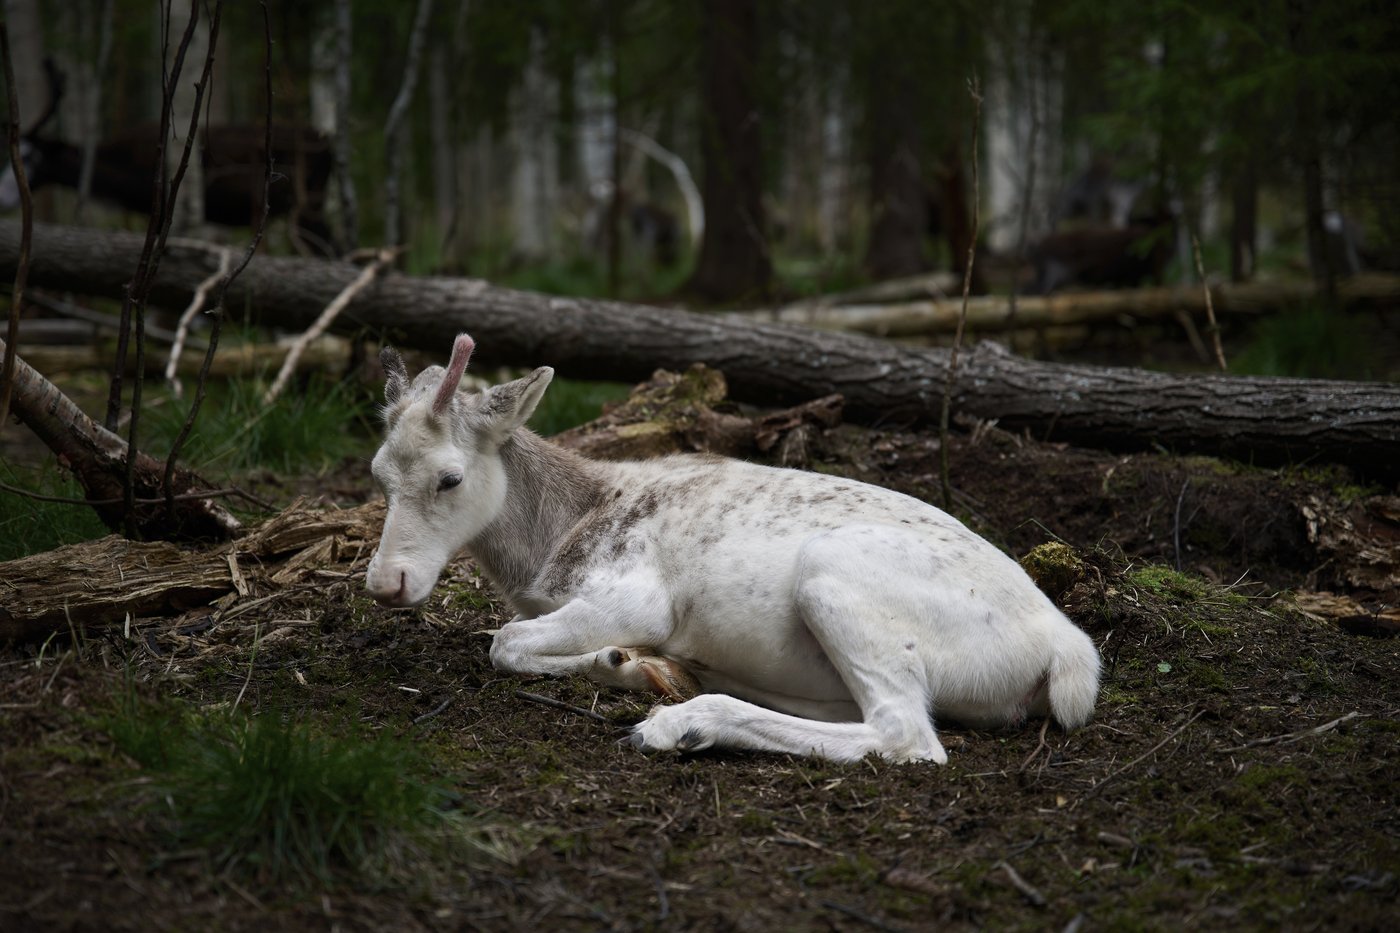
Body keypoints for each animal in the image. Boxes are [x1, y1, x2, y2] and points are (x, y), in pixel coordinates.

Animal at [365, 335, 1102, 763]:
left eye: (450, 476)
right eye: (377, 472)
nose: (385, 581)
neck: (547, 551)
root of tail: (1068, 650)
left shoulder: (638, 595)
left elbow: (503, 642)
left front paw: (636, 667)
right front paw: (637, 664)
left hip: (833, 578)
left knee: (906, 733)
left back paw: (680, 722)